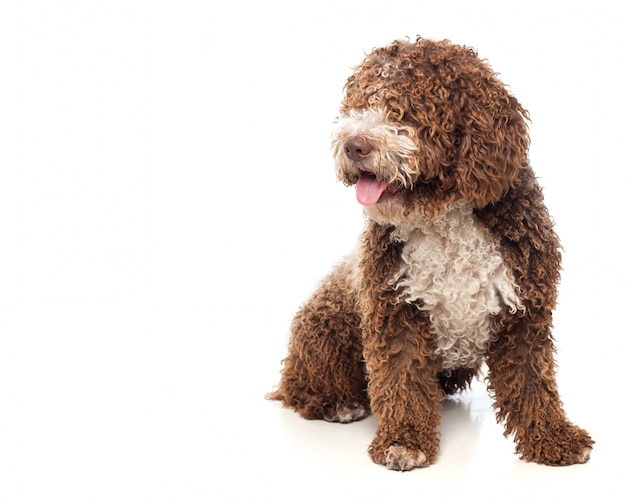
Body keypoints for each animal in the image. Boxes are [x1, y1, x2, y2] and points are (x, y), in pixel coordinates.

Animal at [266, 36, 588, 468]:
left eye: (408, 108)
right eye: (358, 103)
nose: (353, 145)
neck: (442, 217)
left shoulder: (524, 312)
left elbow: (532, 382)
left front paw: (554, 437)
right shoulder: (394, 310)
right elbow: (401, 380)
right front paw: (405, 441)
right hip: (325, 327)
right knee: (299, 390)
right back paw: (337, 403)